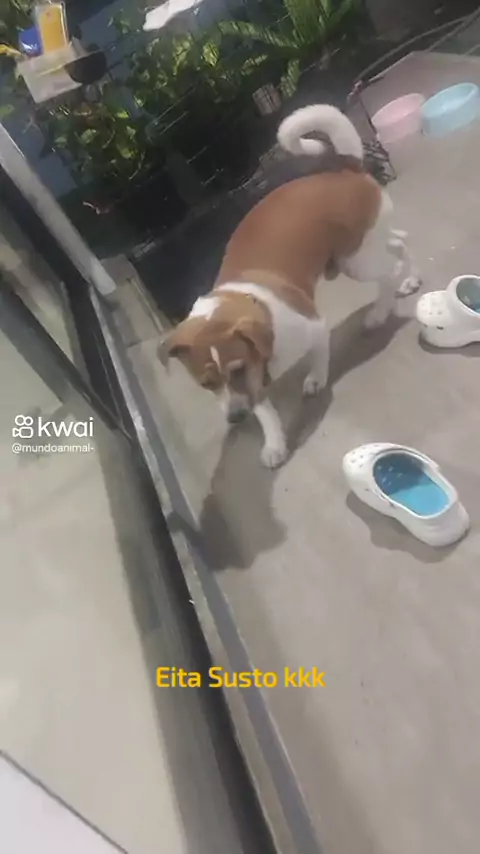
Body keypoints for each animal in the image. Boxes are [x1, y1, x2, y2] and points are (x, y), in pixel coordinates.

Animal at [158, 104, 420, 469]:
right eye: (206, 384)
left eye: (236, 370)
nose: (235, 417)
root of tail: (346, 167)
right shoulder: (255, 383)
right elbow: (265, 411)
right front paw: (274, 443)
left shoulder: (313, 329)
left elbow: (318, 358)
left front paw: (316, 379)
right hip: (363, 248)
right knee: (401, 242)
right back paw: (409, 279)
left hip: (357, 262)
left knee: (388, 271)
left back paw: (382, 310)